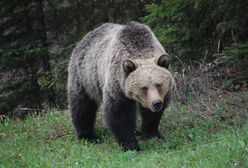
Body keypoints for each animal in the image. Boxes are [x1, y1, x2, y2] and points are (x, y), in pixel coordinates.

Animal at [67, 21, 173, 151]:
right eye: (143, 87)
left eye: (159, 84)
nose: (156, 103)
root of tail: (84, 38)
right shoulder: (117, 85)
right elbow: (119, 114)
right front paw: (131, 145)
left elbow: (152, 115)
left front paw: (151, 134)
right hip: (85, 76)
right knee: (82, 105)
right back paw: (88, 136)